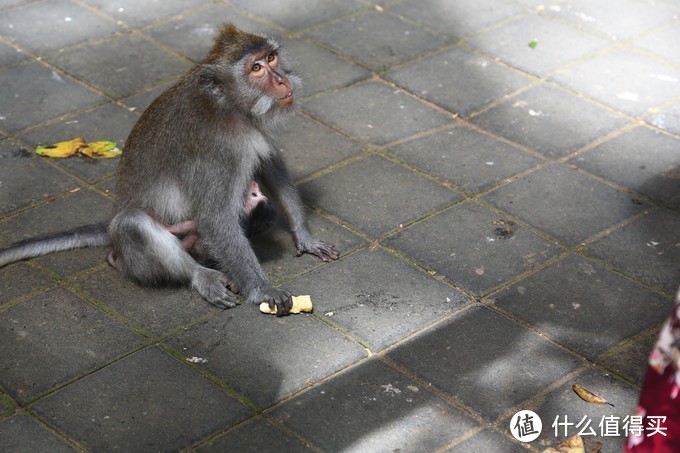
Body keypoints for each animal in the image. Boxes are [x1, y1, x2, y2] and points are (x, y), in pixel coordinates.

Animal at [0, 23, 338, 314]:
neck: (227, 106)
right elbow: (215, 217)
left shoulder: (252, 129)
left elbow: (271, 168)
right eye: (256, 69)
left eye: (271, 57)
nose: (281, 80)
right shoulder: (217, 151)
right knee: (132, 224)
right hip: (133, 252)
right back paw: (201, 276)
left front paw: (305, 237)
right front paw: (261, 290)